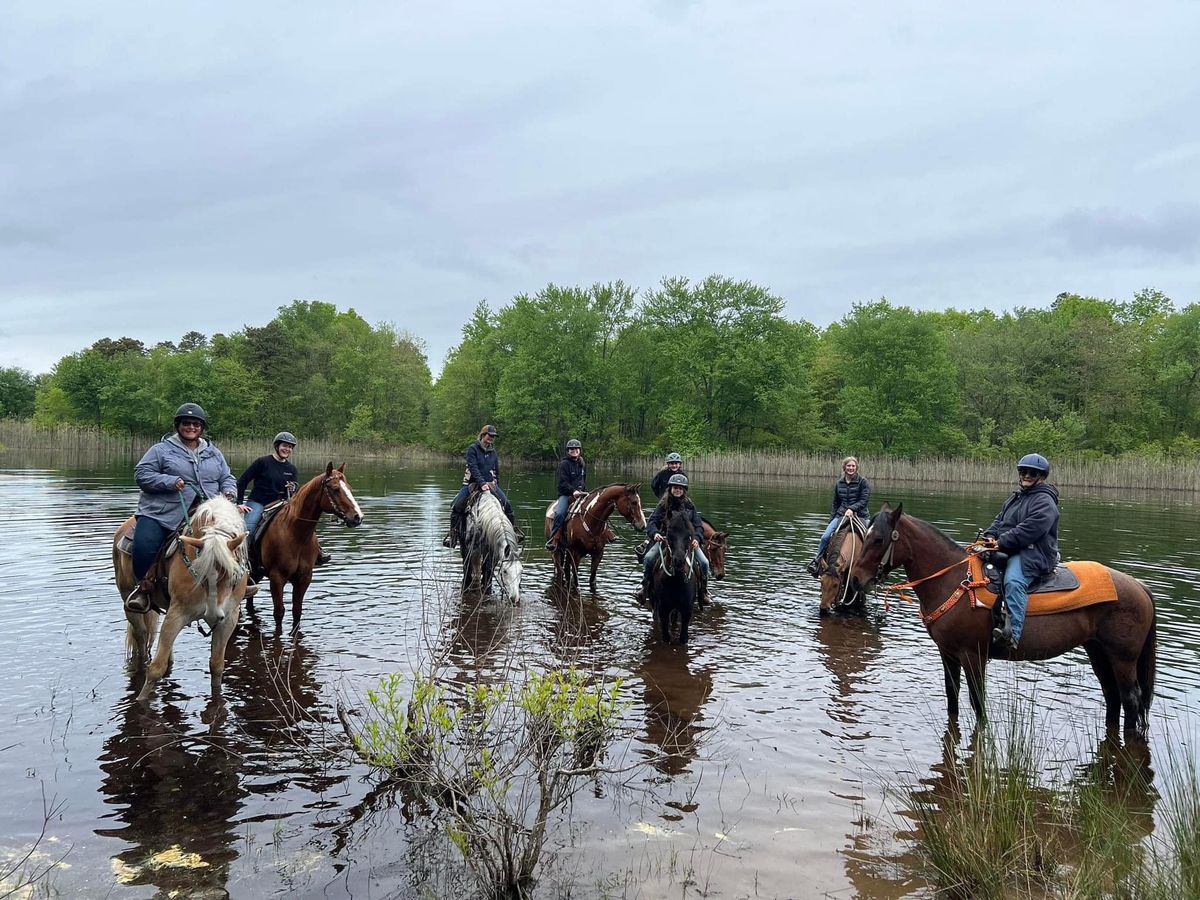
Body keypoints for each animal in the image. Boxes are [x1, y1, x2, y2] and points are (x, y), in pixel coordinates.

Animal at [249, 460, 362, 638]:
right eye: (335, 489)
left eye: (349, 488)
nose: (358, 517)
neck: (296, 534)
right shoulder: (276, 578)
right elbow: (279, 613)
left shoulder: (304, 578)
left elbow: (297, 612)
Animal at [652, 508, 700, 648]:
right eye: (669, 533)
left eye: (688, 535)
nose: (679, 561)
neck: (676, 581)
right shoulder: (663, 608)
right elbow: (665, 637)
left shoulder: (687, 610)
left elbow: (683, 638)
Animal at [849, 504, 1156, 734]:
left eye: (879, 539)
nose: (855, 581)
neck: (954, 581)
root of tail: (1139, 586)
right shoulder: (947, 654)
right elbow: (952, 699)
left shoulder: (973, 655)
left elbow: (978, 705)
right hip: (1098, 652)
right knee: (1113, 697)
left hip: (1123, 658)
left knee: (1130, 700)